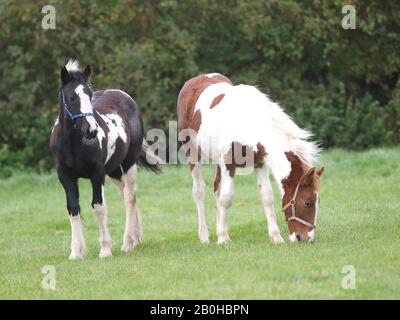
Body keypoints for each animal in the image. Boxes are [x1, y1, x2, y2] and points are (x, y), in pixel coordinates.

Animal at [50, 60, 161, 260]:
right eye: (72, 97)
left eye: (89, 95)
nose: (91, 130)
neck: (73, 143)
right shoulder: (65, 177)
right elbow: (73, 209)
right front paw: (76, 252)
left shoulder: (97, 174)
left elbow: (99, 207)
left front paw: (105, 249)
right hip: (114, 171)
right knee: (126, 195)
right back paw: (136, 238)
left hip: (129, 163)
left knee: (130, 197)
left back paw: (127, 243)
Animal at [178, 74, 324, 245]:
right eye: (308, 202)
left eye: (318, 202)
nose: (306, 238)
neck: (248, 123)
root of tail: (196, 79)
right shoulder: (228, 164)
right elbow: (226, 198)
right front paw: (222, 239)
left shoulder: (260, 163)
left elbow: (267, 197)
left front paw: (276, 237)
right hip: (193, 154)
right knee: (199, 191)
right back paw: (204, 236)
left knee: (216, 188)